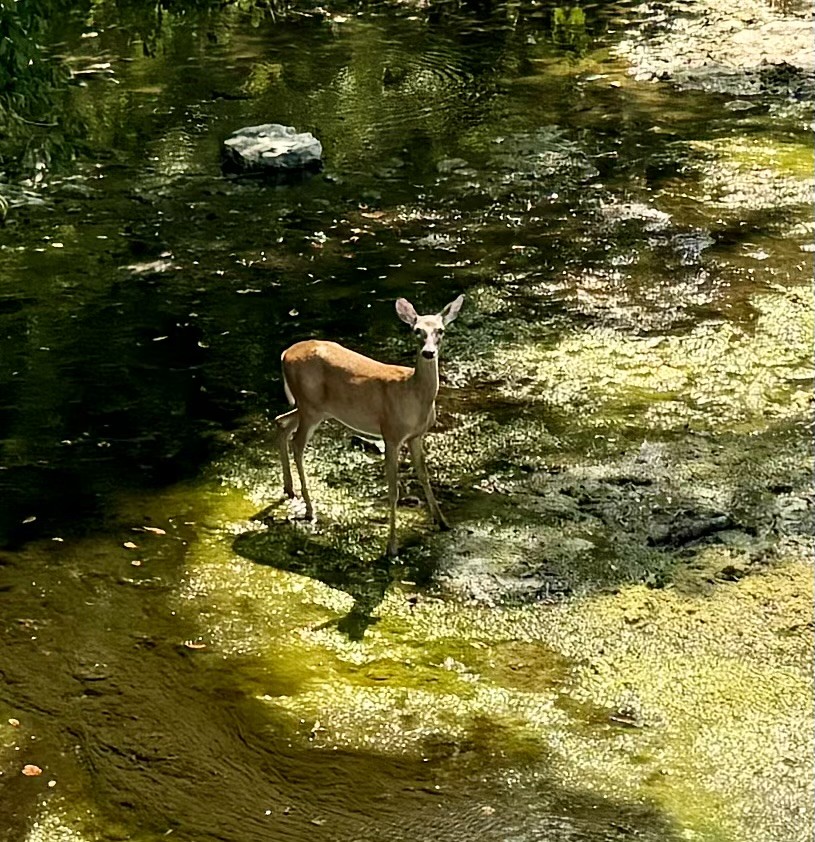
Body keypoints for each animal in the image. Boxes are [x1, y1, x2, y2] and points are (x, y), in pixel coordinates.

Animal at [274, 296, 466, 556]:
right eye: (416, 330)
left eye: (441, 330)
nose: (428, 352)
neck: (414, 395)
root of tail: (285, 353)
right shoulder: (391, 434)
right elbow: (394, 490)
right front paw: (392, 546)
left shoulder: (416, 436)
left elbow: (424, 476)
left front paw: (443, 522)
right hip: (310, 406)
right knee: (297, 444)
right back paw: (310, 509)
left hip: (314, 408)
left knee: (281, 422)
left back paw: (289, 489)